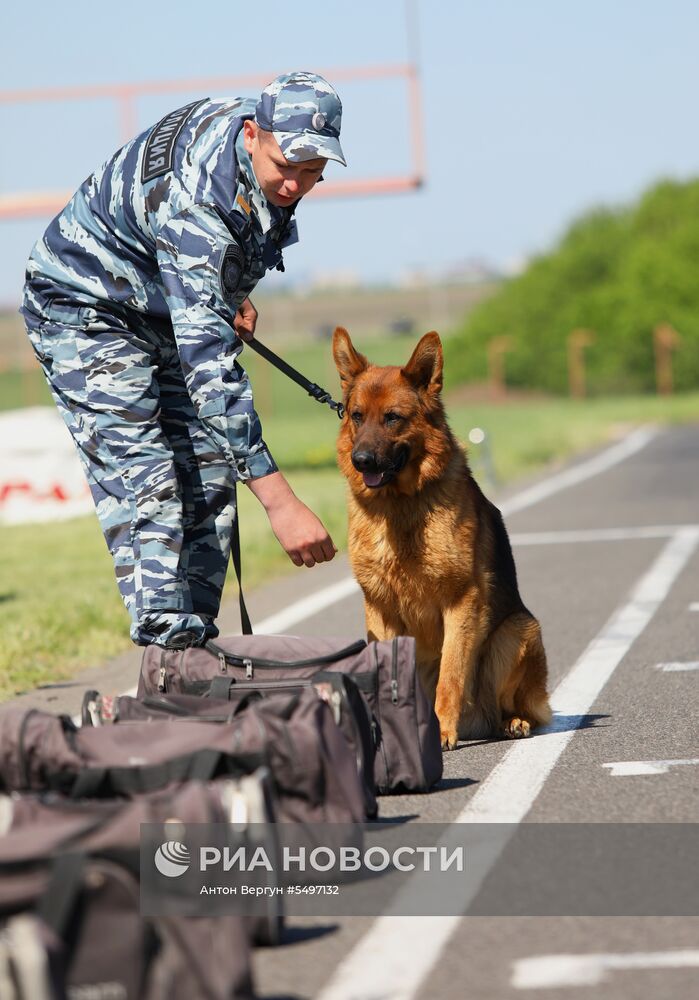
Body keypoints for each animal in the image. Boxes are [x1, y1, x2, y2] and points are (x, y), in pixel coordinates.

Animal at [334, 328, 552, 752]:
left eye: (393, 418)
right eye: (356, 415)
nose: (361, 460)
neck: (401, 505)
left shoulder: (460, 602)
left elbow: (450, 675)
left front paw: (440, 731)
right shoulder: (379, 608)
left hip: (518, 631)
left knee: (521, 708)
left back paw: (513, 721)